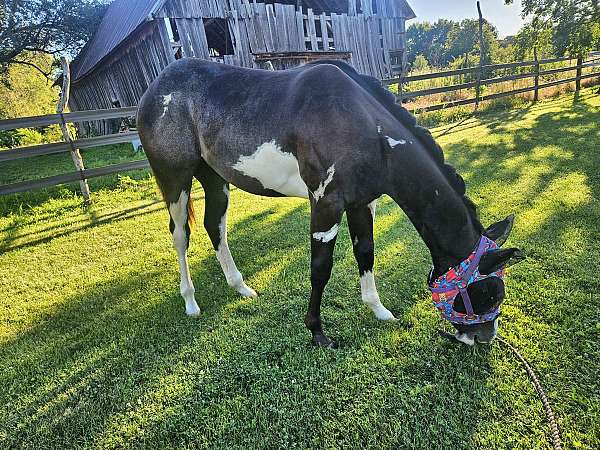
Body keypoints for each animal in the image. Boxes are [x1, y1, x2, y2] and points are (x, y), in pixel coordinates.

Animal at [137, 58, 524, 348]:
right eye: (489, 292)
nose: (483, 338)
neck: (363, 125)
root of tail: (156, 87)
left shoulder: (362, 203)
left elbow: (366, 252)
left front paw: (378, 309)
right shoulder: (325, 204)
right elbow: (320, 269)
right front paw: (317, 332)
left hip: (215, 179)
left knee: (214, 227)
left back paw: (241, 287)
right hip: (175, 180)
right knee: (180, 236)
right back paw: (190, 301)